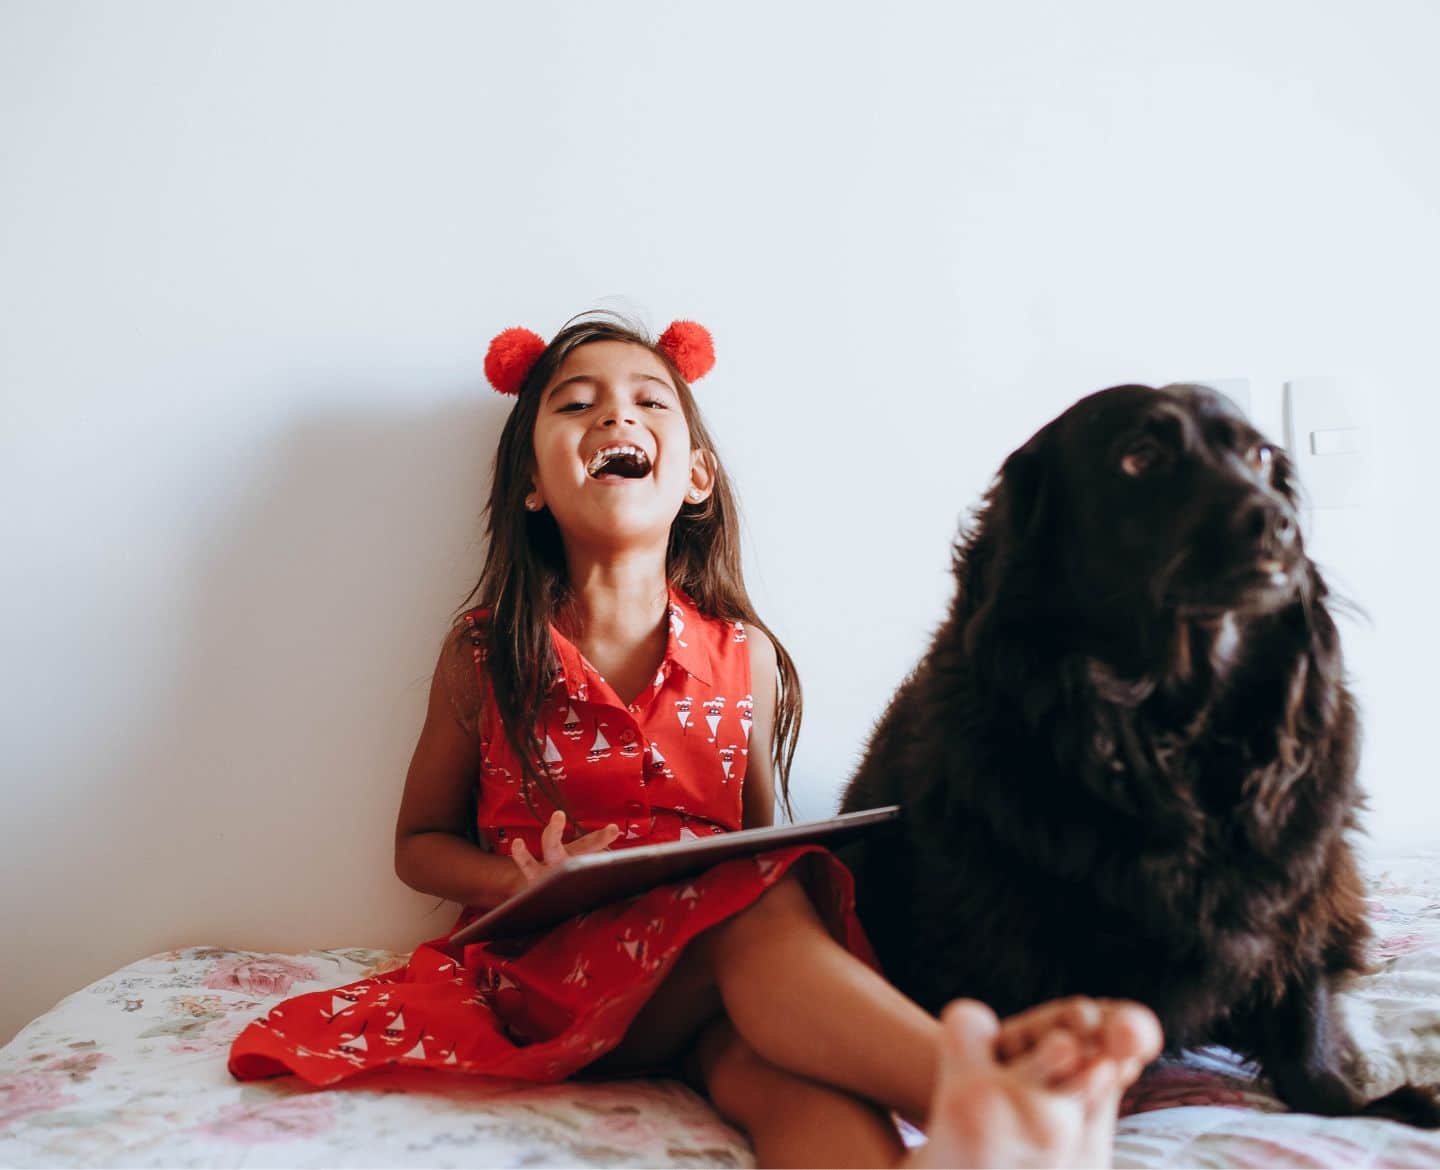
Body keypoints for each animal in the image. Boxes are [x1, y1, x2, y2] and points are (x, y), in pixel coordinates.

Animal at [840, 383, 1434, 1123]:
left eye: (1263, 456)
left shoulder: (1299, 889)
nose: (1279, 525)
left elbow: (1306, 1019)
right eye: (1141, 457)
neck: (1175, 731)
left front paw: (1357, 1101)